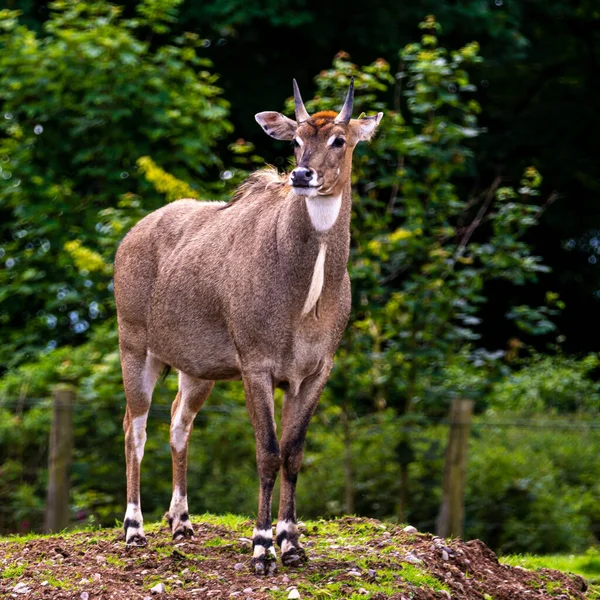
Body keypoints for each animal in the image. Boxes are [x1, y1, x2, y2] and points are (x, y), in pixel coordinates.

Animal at [113, 77, 384, 576]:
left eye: (339, 139)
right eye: (296, 140)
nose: (302, 176)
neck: (306, 297)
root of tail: (131, 236)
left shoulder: (314, 372)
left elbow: (294, 453)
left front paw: (292, 543)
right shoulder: (256, 366)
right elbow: (267, 453)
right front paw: (261, 549)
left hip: (196, 369)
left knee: (178, 423)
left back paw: (181, 523)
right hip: (135, 346)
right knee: (133, 427)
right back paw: (135, 529)